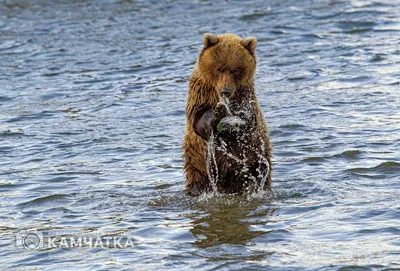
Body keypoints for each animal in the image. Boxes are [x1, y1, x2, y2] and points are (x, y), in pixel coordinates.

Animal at [184, 33, 272, 197]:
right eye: (219, 69)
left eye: (235, 70)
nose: (225, 91)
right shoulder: (200, 93)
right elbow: (198, 118)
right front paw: (216, 114)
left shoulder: (245, 96)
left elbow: (248, 119)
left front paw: (231, 120)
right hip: (197, 165)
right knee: (198, 182)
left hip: (255, 161)